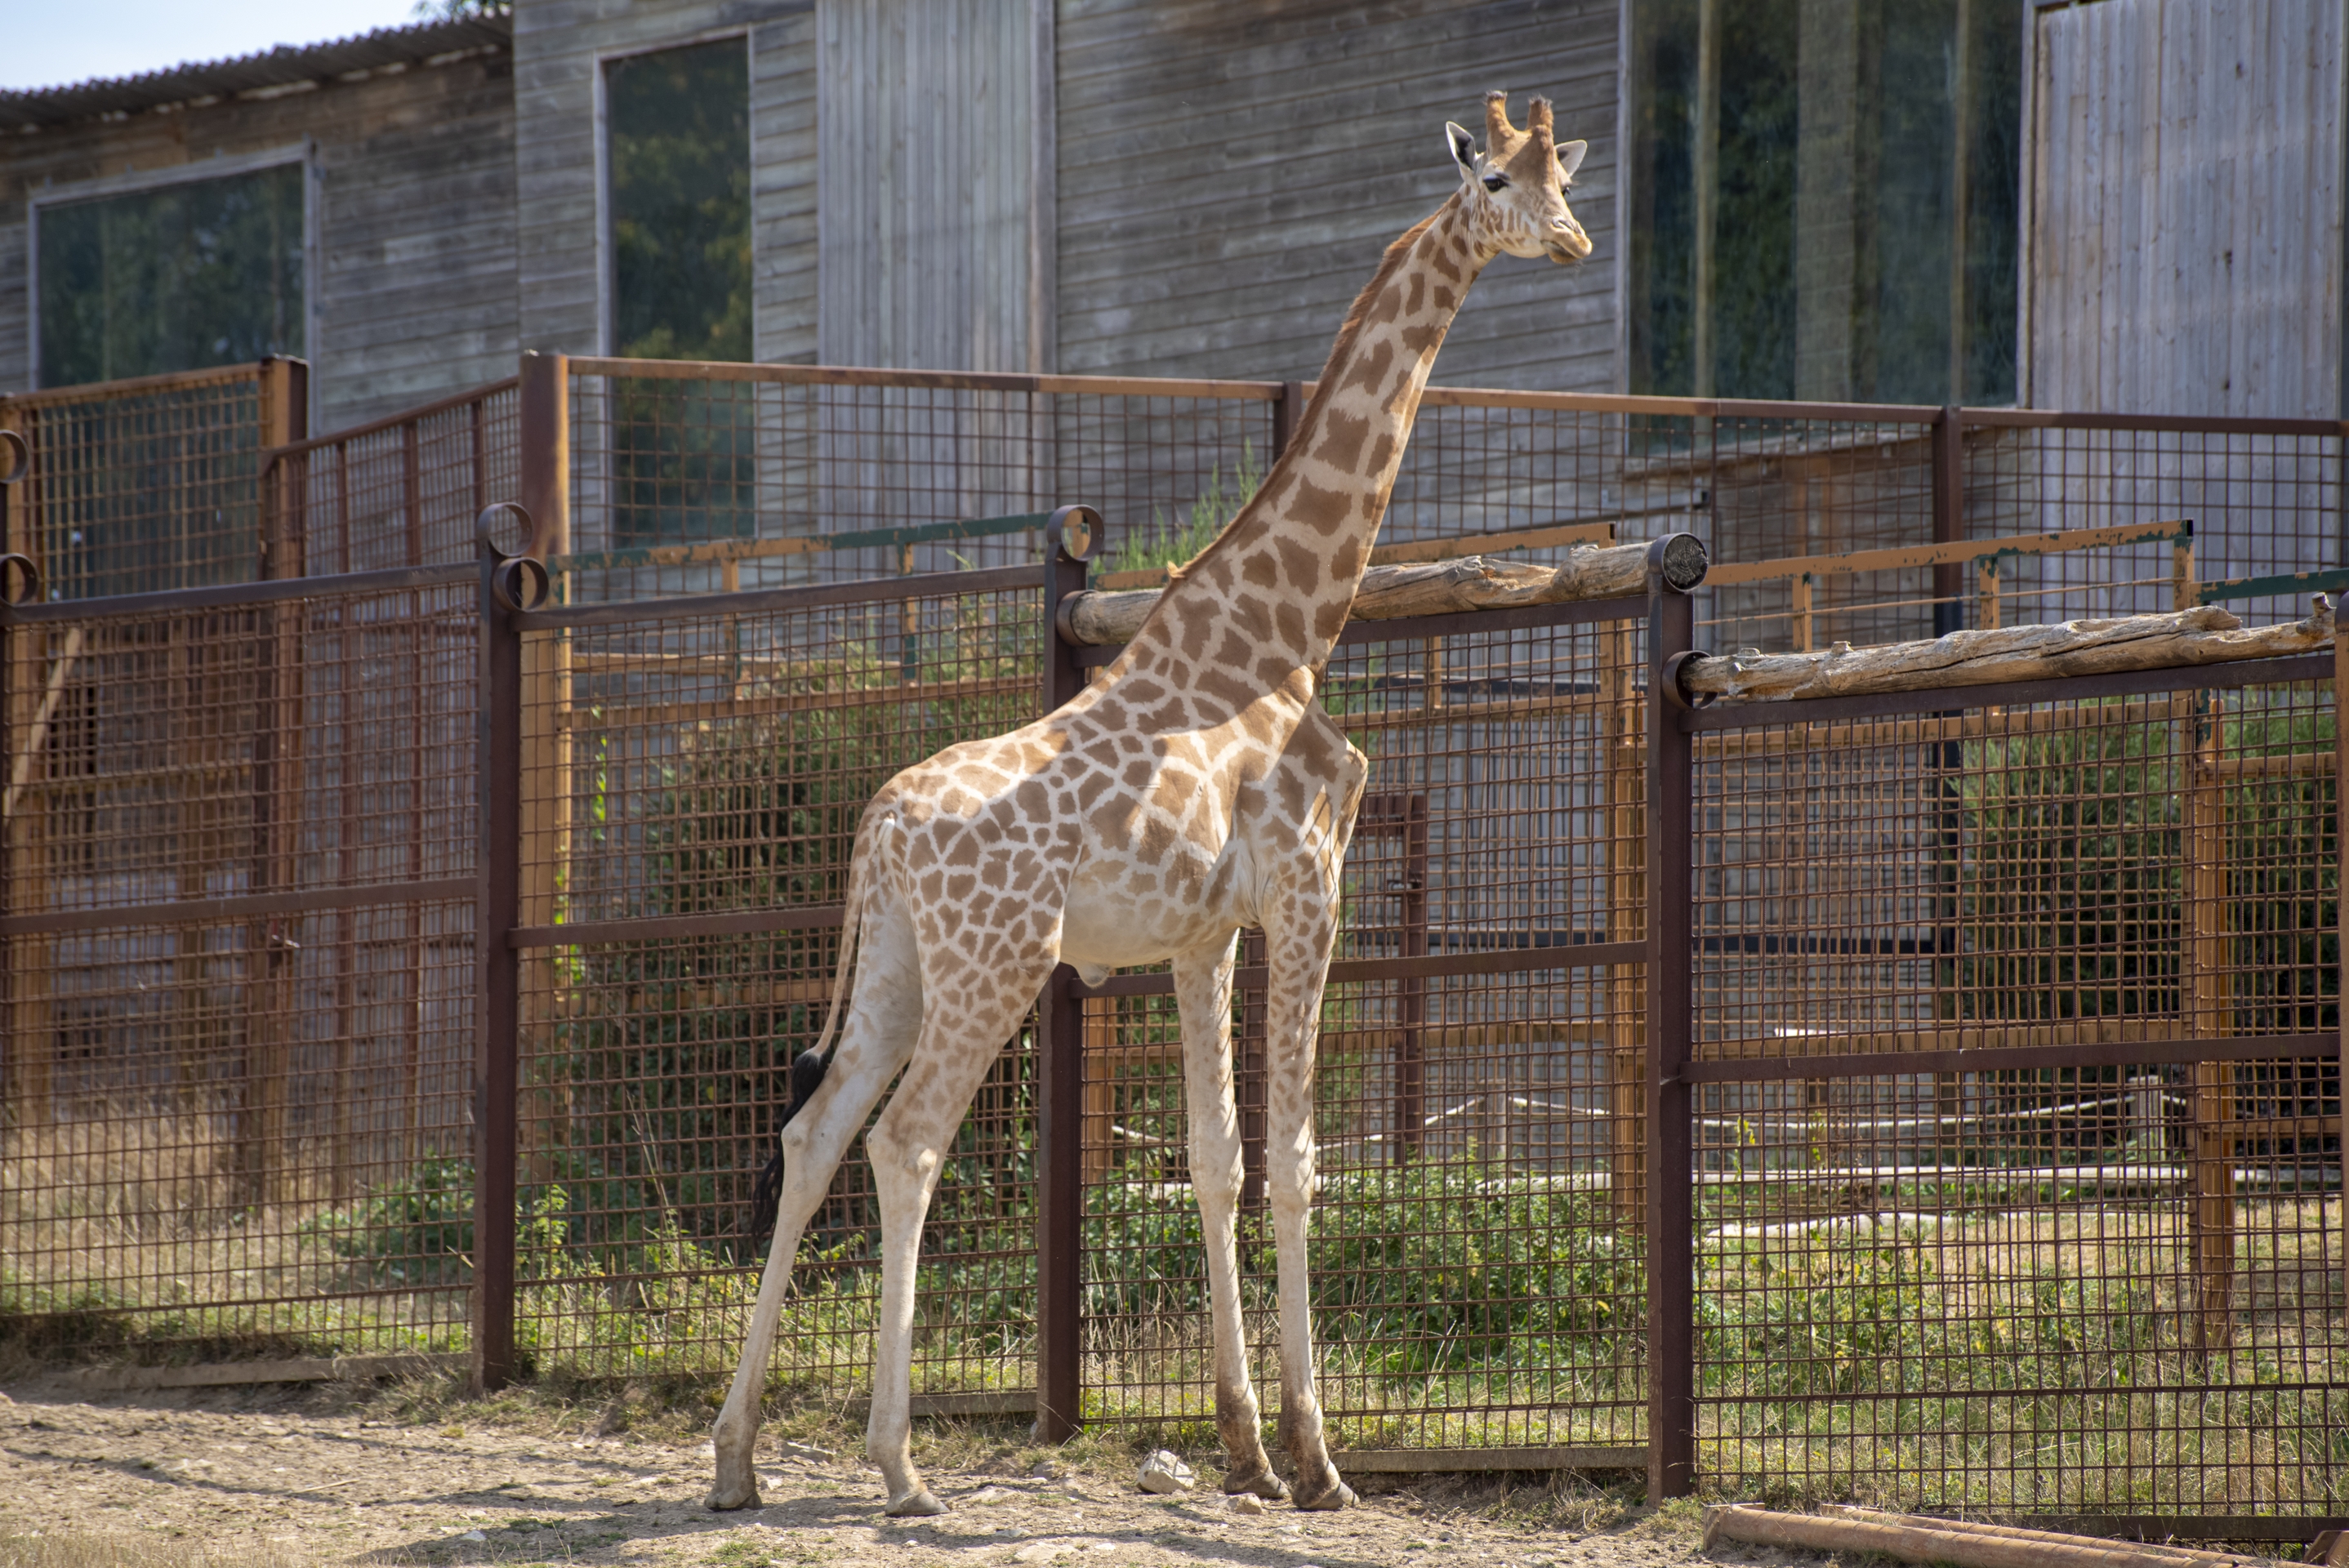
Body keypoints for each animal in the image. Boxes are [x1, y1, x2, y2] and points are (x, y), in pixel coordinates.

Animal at [708, 91, 1592, 1519]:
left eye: (1569, 177)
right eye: (1501, 181)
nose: (1571, 243)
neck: (1288, 633)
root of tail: (878, 826)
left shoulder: (1201, 932)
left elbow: (1214, 1159)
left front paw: (1243, 1448)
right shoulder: (1311, 887)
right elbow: (1295, 1163)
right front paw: (1319, 1460)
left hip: (899, 962)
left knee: (812, 1131)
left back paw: (735, 1456)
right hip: (997, 965)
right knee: (907, 1144)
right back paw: (899, 1466)